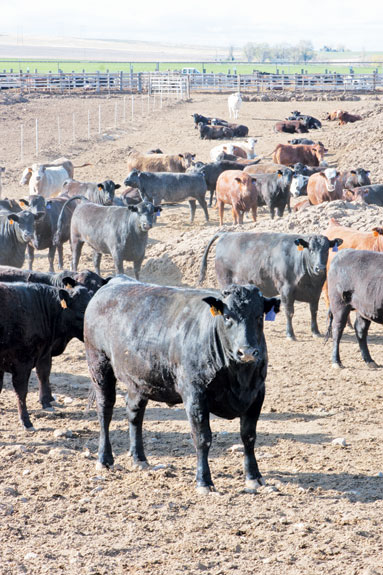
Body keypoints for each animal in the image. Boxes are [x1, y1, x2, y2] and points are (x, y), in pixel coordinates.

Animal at [85, 276, 280, 492]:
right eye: (228, 317)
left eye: (259, 316)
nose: (246, 352)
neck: (238, 376)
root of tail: (115, 281)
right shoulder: (195, 395)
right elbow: (202, 438)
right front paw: (204, 481)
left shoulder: (257, 394)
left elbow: (248, 436)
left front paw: (254, 476)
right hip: (99, 365)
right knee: (105, 410)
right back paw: (104, 459)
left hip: (140, 379)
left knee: (134, 413)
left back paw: (140, 459)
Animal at [200, 232, 344, 340]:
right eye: (311, 250)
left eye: (326, 250)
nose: (320, 268)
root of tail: (226, 233)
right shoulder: (286, 289)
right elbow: (289, 312)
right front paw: (290, 334)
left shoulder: (315, 291)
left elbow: (313, 311)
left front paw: (315, 331)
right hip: (225, 282)